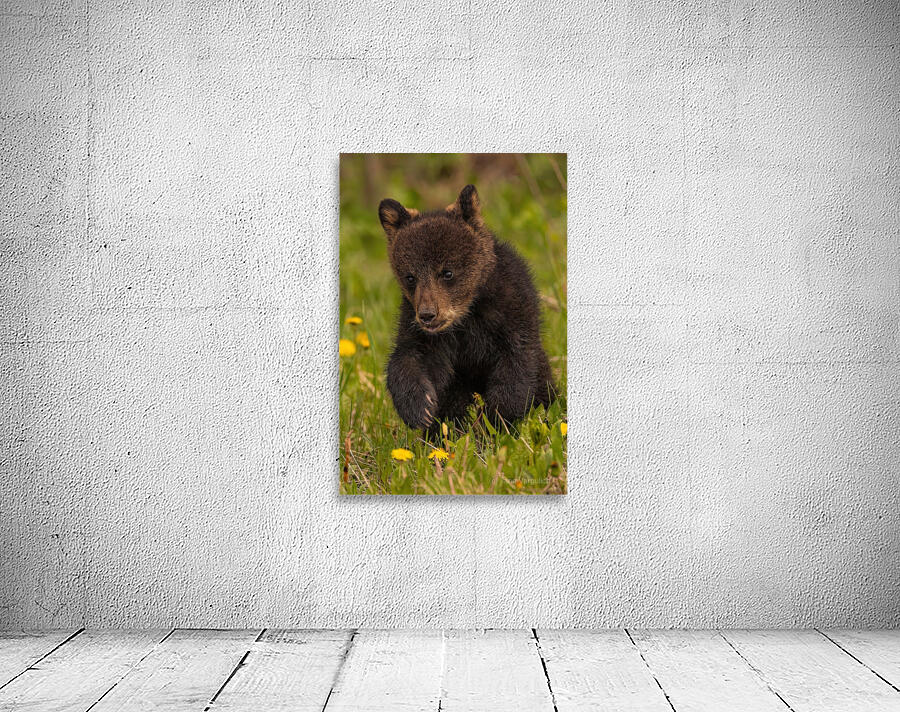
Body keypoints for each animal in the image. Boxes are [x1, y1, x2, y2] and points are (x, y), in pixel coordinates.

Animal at [378, 184, 556, 432]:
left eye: (447, 272)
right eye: (410, 277)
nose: (428, 315)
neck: (466, 314)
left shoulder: (511, 311)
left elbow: (515, 367)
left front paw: (492, 423)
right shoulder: (423, 329)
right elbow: (410, 357)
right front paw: (420, 408)